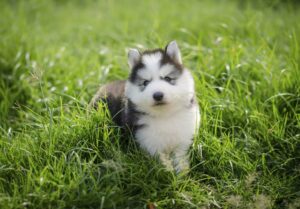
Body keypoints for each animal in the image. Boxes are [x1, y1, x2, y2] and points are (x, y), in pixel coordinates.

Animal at [90, 41, 200, 173]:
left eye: (167, 78)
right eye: (146, 82)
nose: (158, 95)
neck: (164, 115)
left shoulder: (182, 141)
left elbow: (181, 160)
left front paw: (182, 174)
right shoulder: (149, 143)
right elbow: (162, 162)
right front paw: (168, 173)